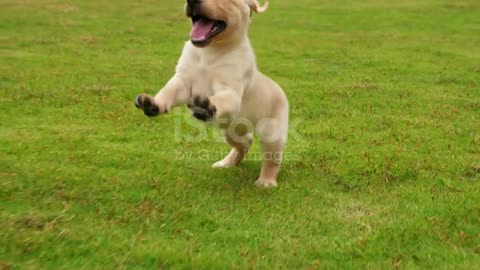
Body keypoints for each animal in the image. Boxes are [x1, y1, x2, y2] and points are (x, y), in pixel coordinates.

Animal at [133, 0, 286, 188]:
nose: (192, 1)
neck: (210, 51)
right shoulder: (183, 81)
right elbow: (169, 91)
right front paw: (153, 103)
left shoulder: (230, 91)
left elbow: (221, 99)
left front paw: (205, 106)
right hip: (232, 132)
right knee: (245, 143)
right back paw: (226, 163)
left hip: (272, 133)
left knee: (271, 159)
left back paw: (266, 181)